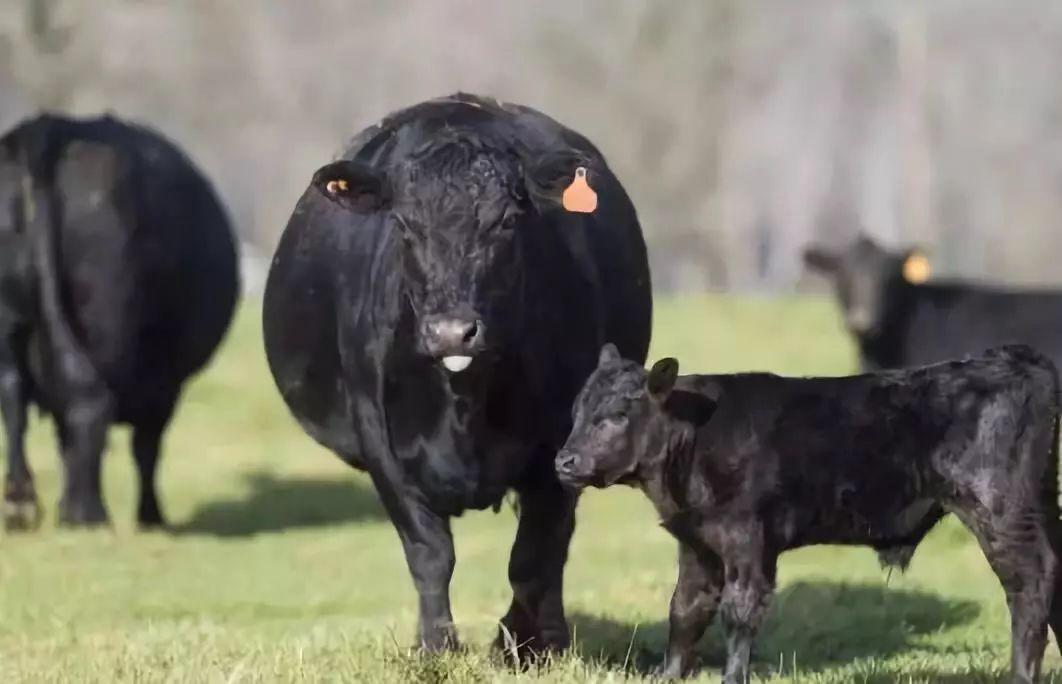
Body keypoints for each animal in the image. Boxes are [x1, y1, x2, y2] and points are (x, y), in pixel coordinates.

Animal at [0, 113, 236, 528]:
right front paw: (150, 515)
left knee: (13, 395)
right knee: (88, 407)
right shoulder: (164, 383)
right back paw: (87, 514)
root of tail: (53, 126)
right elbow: (146, 447)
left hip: (8, 323)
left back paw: (22, 502)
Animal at [261, 93, 649, 654]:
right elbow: (430, 552)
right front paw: (435, 647)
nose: (450, 332)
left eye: (506, 222)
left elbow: (534, 554)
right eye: (404, 225)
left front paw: (527, 646)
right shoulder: (379, 442)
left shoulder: (564, 442)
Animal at [556, 344, 1062, 679]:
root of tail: (1014, 357)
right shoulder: (699, 546)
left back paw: (1021, 674)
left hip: (1000, 510)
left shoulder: (749, 544)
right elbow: (686, 611)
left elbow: (739, 613)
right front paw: (667, 676)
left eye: (618, 415)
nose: (565, 461)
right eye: (577, 410)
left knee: (1032, 584)